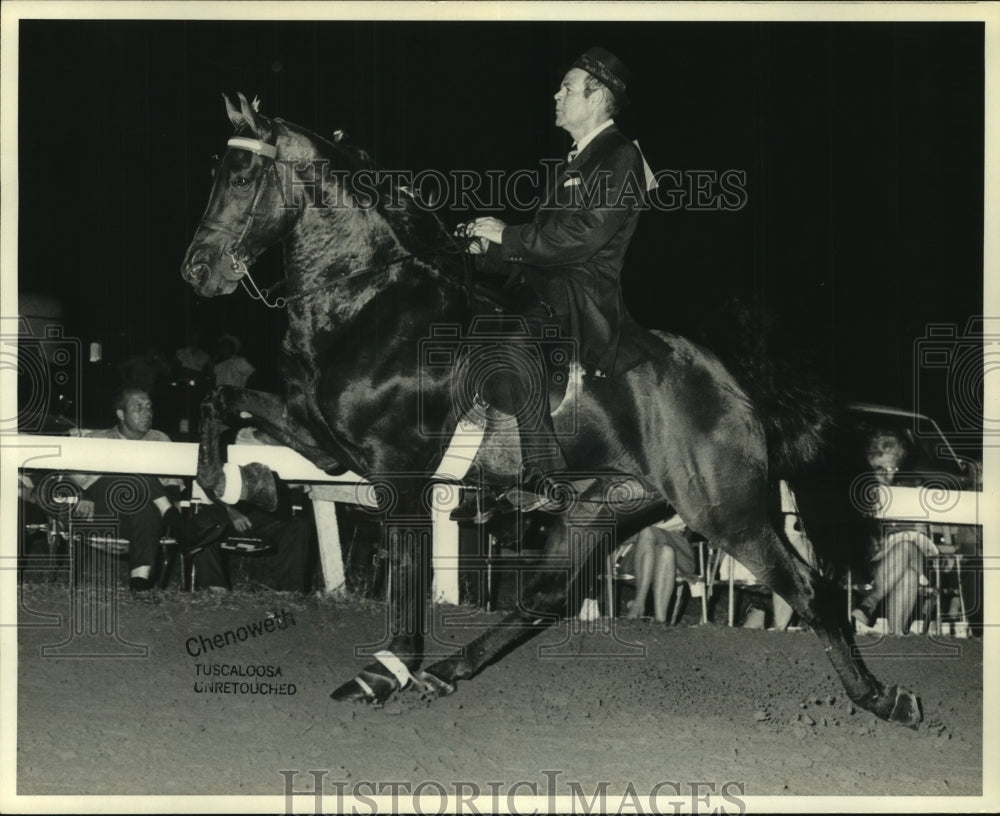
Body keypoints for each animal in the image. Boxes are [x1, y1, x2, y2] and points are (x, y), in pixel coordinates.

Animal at [182, 94, 920, 728]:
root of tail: (736, 388)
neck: (370, 301)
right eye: (214, 170)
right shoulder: (326, 440)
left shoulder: (401, 472)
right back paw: (448, 672)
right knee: (544, 599)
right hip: (604, 506)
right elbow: (221, 406)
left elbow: (409, 577)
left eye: (241, 175)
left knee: (813, 592)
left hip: (727, 512)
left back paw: (883, 699)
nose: (197, 271)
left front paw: (387, 667)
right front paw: (245, 490)